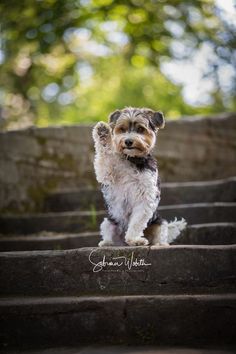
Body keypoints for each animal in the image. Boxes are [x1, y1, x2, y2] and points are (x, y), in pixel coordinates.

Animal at [92, 108, 186, 246]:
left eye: (141, 129)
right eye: (122, 129)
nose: (128, 141)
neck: (133, 159)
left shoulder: (145, 196)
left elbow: (137, 222)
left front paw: (134, 239)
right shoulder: (107, 173)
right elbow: (105, 156)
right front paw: (102, 132)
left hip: (160, 223)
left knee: (160, 234)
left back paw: (159, 244)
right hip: (108, 222)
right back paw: (107, 243)